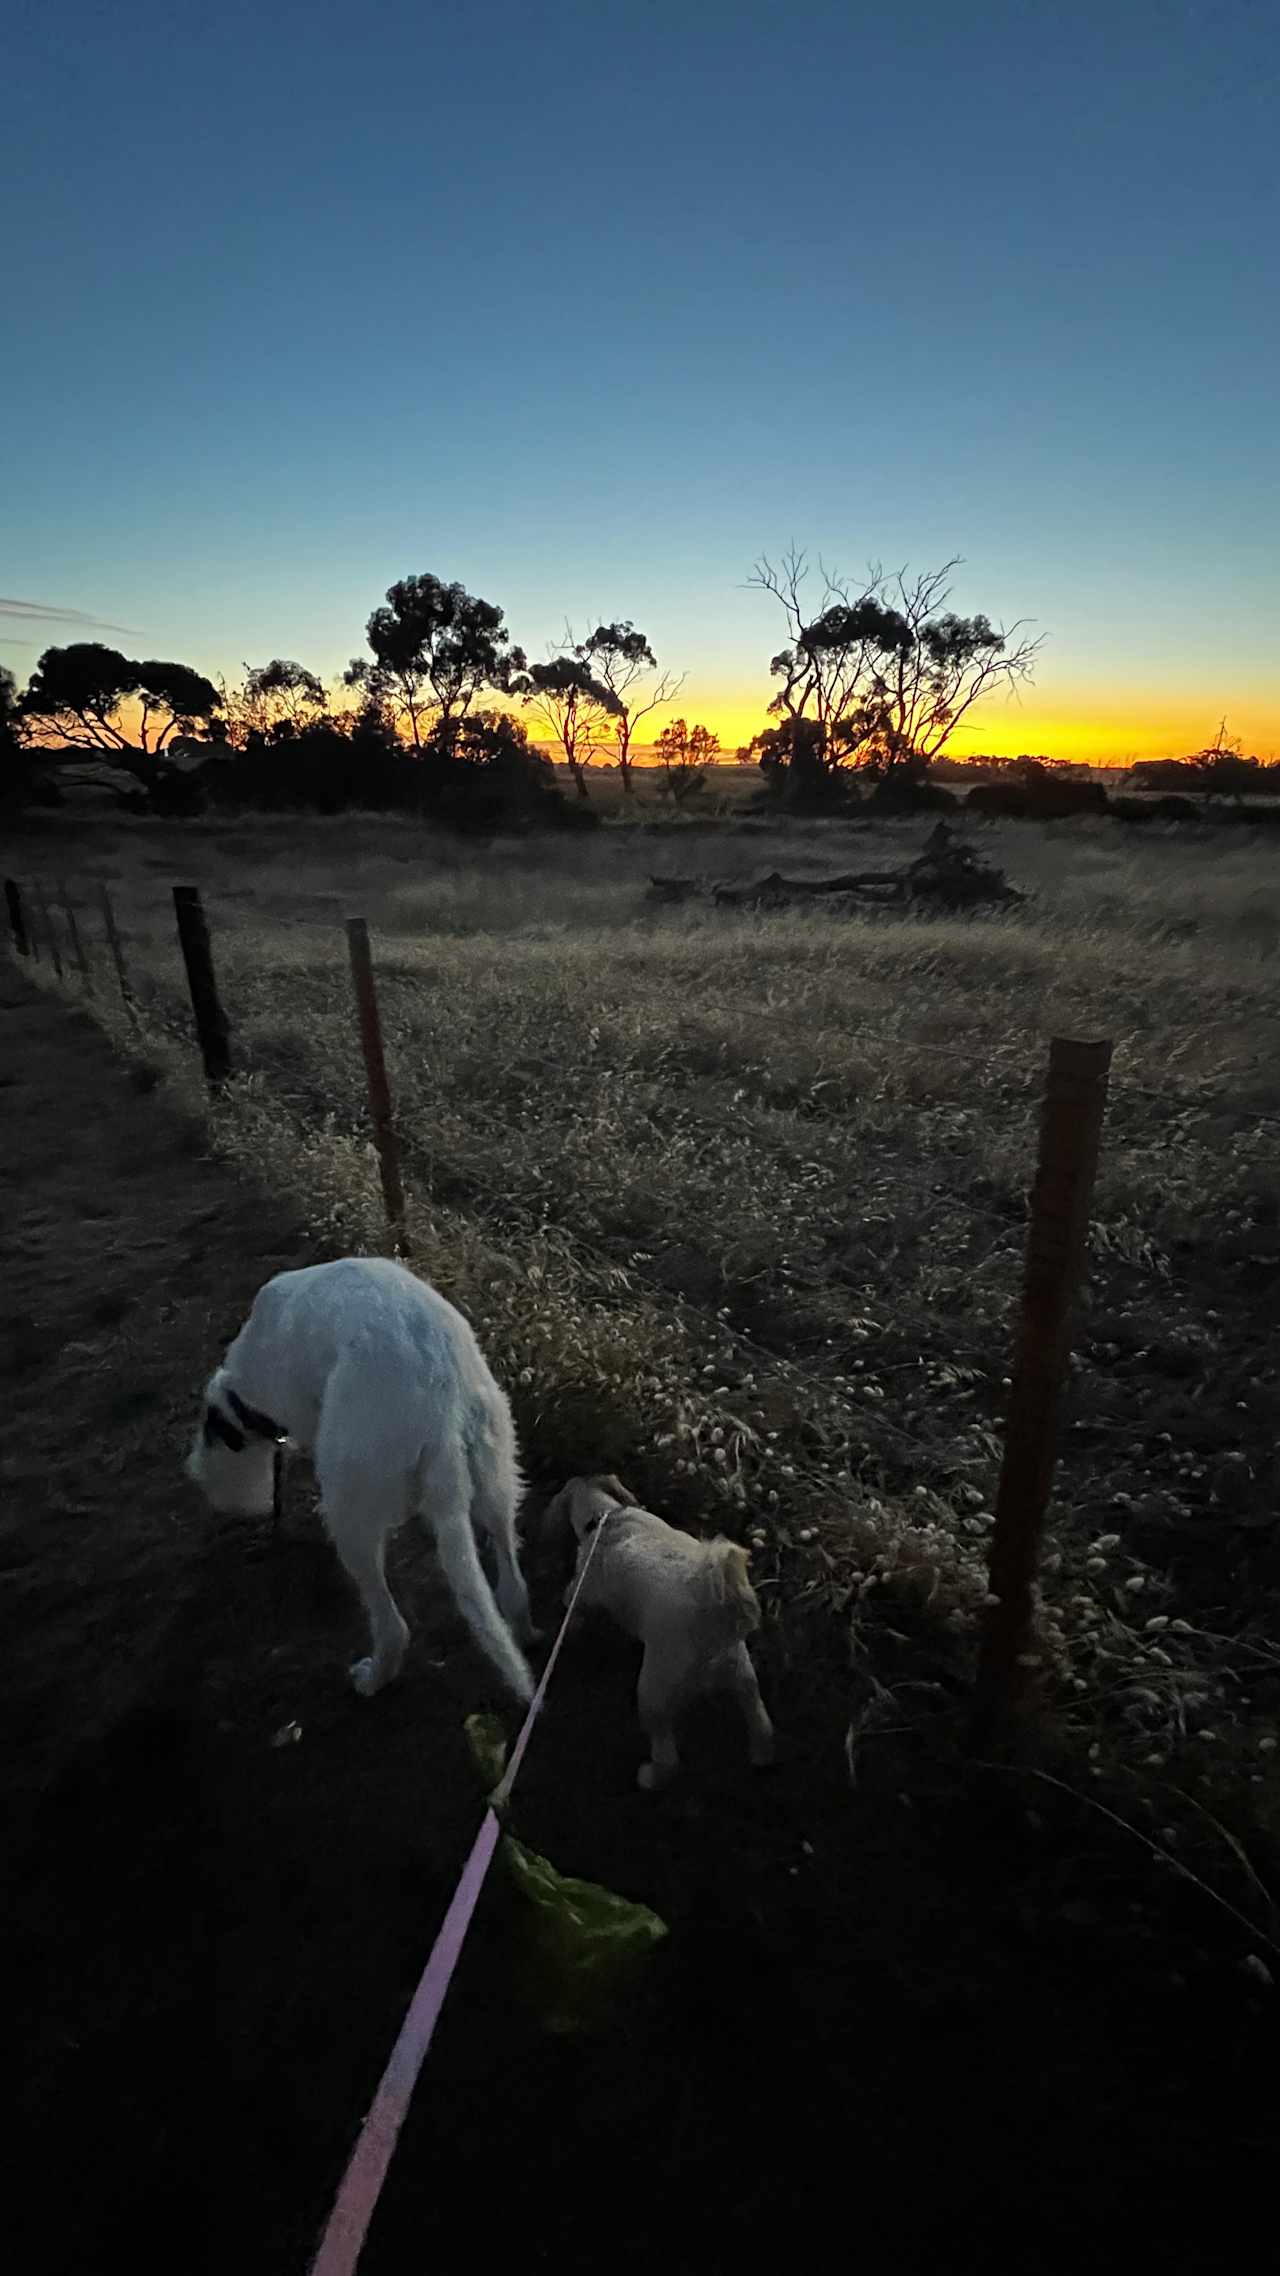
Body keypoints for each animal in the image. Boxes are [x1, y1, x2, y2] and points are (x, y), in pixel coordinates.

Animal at [184, 1256, 532, 1702]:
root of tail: (442, 1407)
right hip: (496, 1470)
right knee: (512, 1585)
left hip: (352, 1520)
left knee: (393, 1626)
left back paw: (373, 1677)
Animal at [542, 1474, 774, 1793]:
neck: (606, 1517)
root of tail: (711, 1615)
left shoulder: (581, 1588)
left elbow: (573, 1606)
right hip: (741, 1671)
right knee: (759, 1719)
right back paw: (761, 1755)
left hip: (654, 1693)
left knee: (668, 1759)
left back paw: (650, 1777)